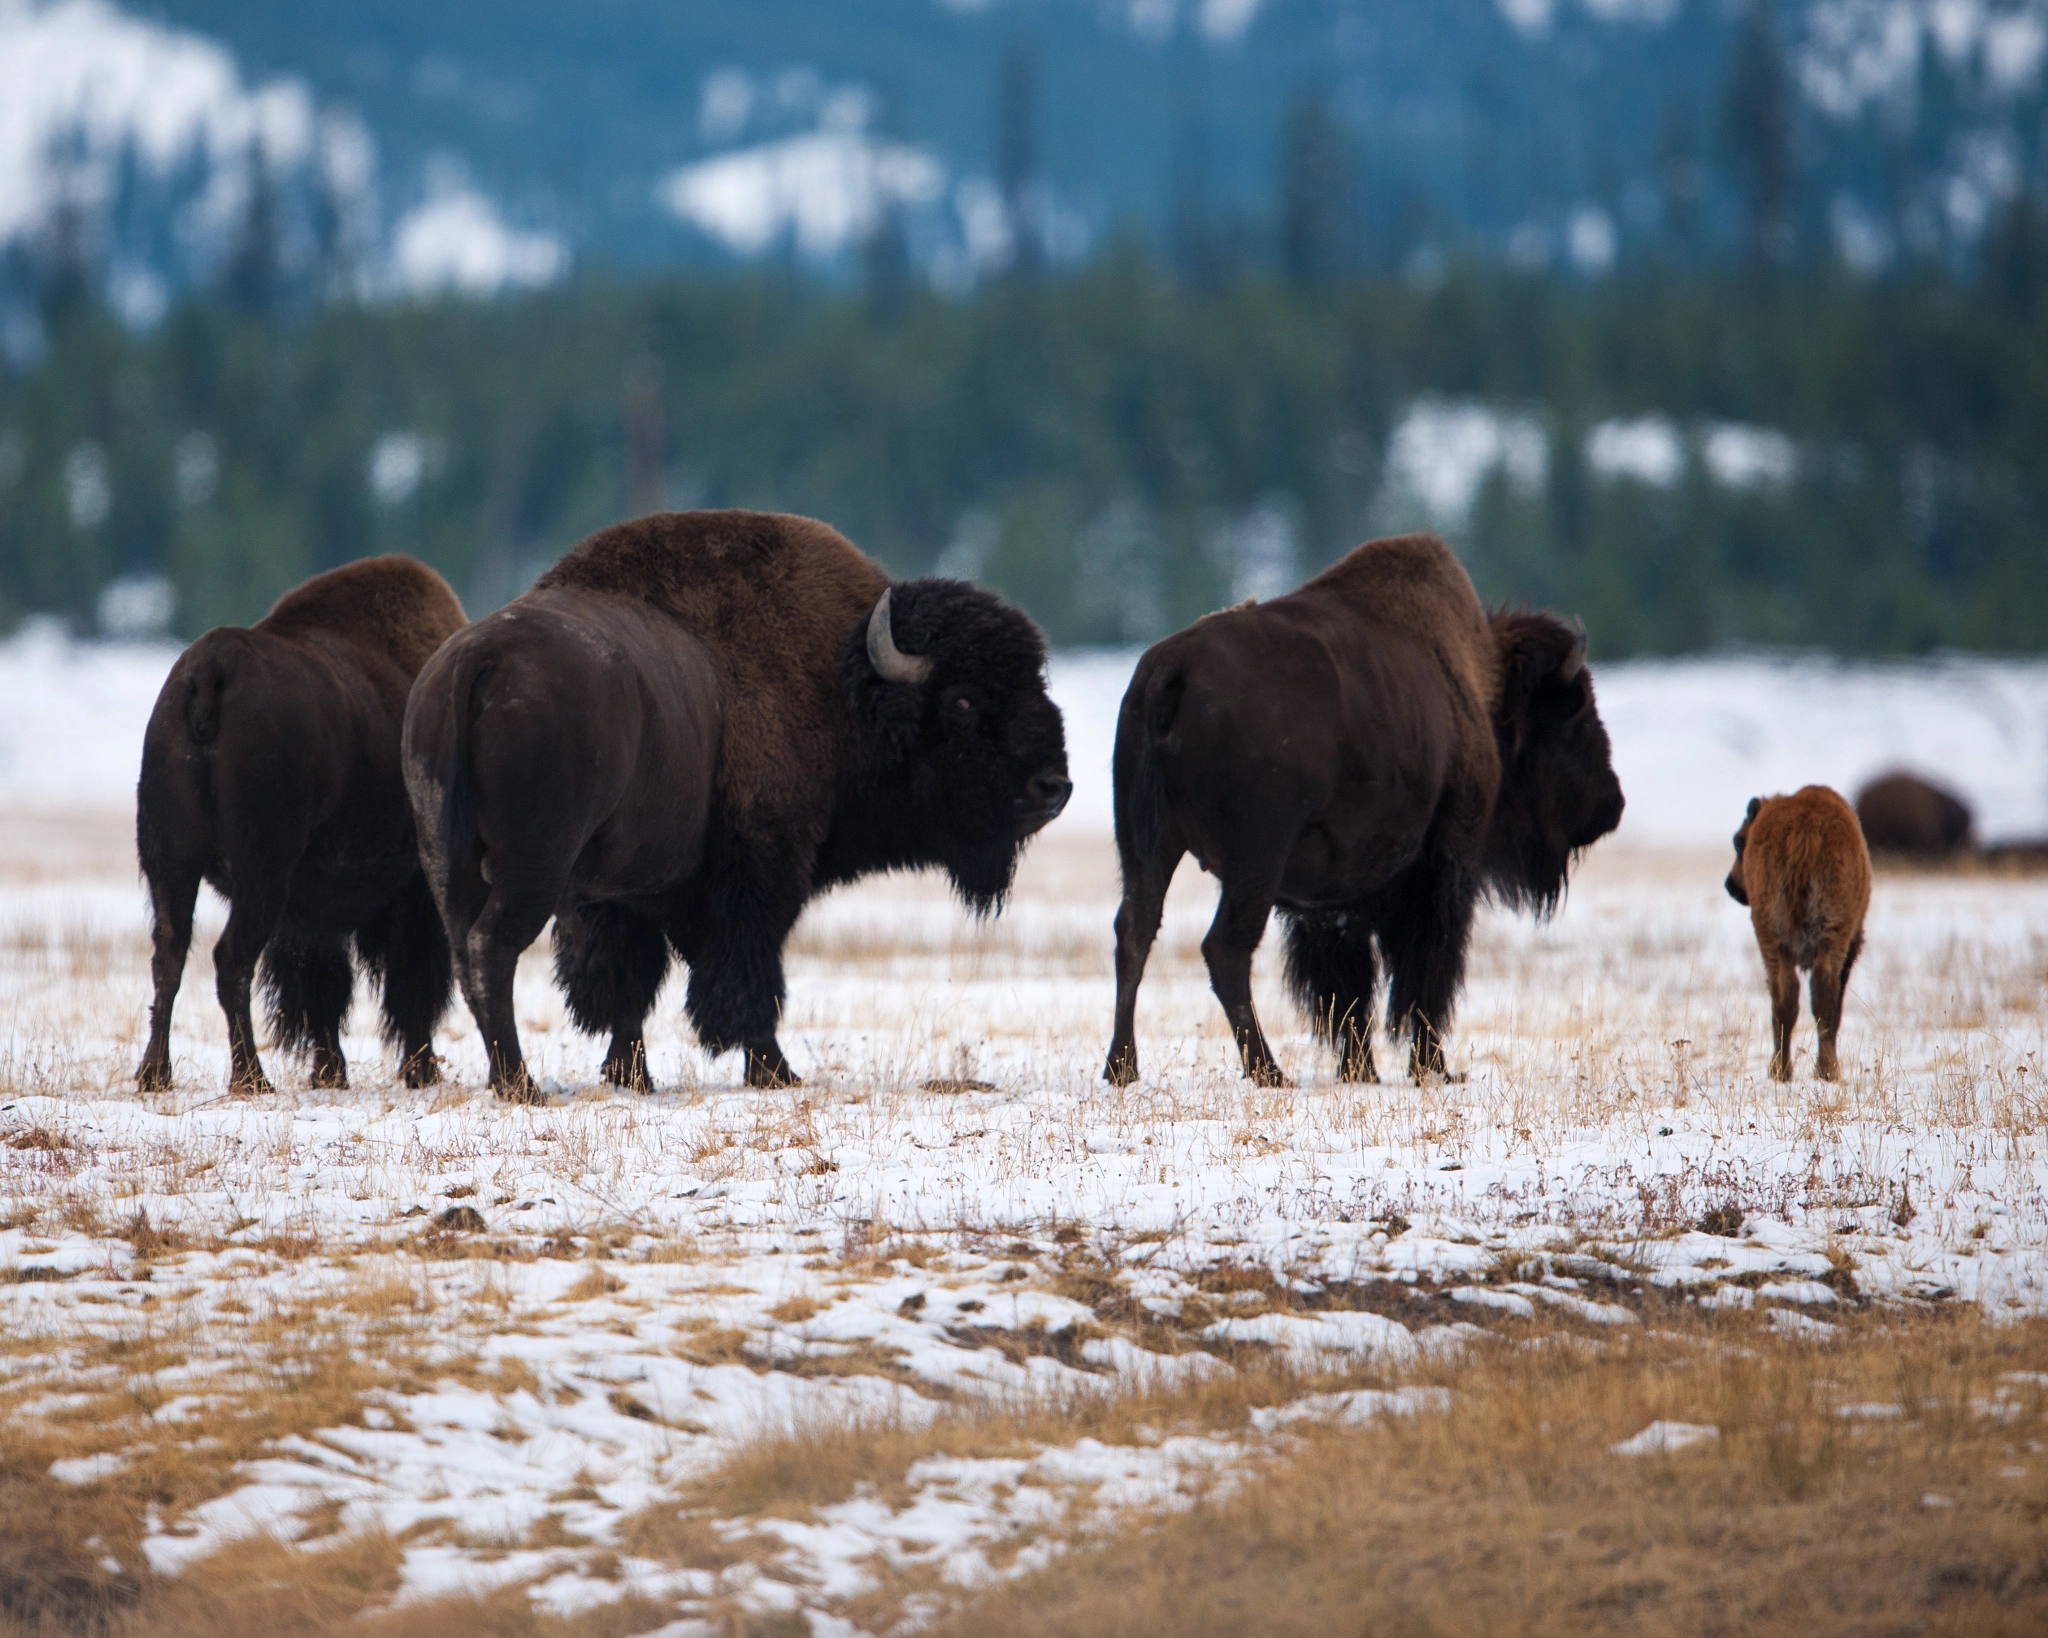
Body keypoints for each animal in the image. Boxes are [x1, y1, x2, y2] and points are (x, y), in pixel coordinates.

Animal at [136, 556, 468, 1097]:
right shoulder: (407, 894)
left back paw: (154, 1074)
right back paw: (251, 1077)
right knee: (230, 961)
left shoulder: (313, 911)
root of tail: (210, 669)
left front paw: (331, 1071)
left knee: (170, 955)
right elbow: (404, 981)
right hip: (259, 875)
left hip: (172, 864)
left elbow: (324, 987)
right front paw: (418, 1070)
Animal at [403, 507, 1073, 1097]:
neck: (843, 686)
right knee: (491, 950)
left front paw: (632, 1077)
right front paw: (775, 1071)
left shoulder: (621, 894)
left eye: (1034, 683)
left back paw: (510, 1079)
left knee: (466, 955)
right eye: (961, 700)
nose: (1054, 787)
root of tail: (474, 663)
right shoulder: (760, 869)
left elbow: (630, 984)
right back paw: (520, 1085)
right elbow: (746, 972)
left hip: (449, 864)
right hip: (532, 869)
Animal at [1097, 532, 1622, 1089]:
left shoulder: (1330, 902)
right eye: (1578, 717)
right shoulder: (1445, 868)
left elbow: (1347, 989)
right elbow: (1426, 971)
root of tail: (1171, 669)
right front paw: (1433, 1068)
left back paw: (1122, 1067)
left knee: (1135, 932)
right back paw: (1269, 1072)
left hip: (1148, 847)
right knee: (1225, 949)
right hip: (1253, 864)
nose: (1611, 803)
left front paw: (1361, 1071)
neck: (1481, 689)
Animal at [1728, 782, 1875, 1081]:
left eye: (1739, 840)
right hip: (1830, 937)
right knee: (1821, 994)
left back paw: (1781, 1071)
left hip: (1774, 937)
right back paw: (1826, 1071)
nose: (1731, 886)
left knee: (1786, 998)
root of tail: (1802, 831)